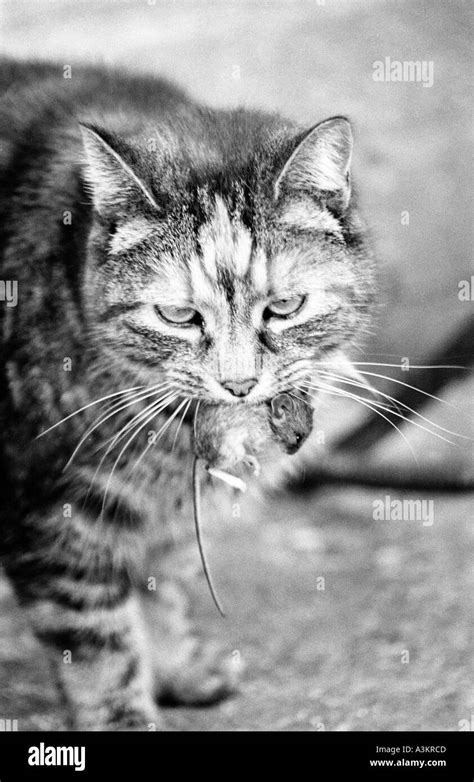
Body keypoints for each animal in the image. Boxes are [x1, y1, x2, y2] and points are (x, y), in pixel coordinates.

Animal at [0, 61, 374, 736]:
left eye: (284, 307)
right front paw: (123, 719)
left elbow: (161, 594)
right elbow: (98, 642)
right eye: (177, 316)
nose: (239, 383)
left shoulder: (162, 518)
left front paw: (177, 671)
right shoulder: (53, 516)